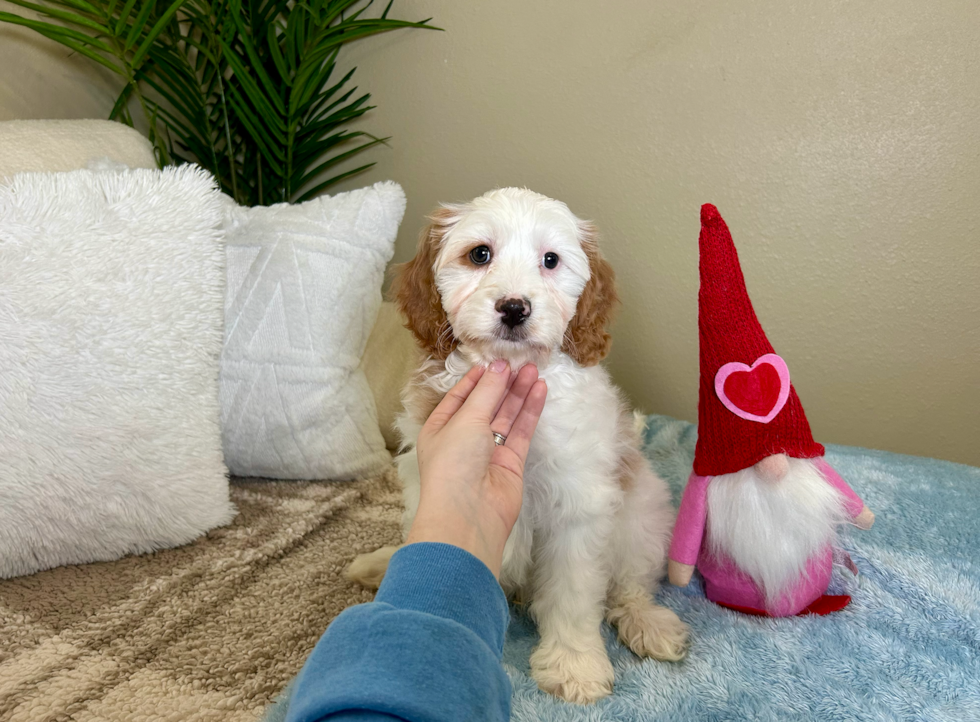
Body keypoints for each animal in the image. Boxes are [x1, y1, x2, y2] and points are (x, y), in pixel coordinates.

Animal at [352, 188, 688, 700]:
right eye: (479, 255)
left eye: (550, 260)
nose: (514, 308)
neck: (509, 373)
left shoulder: (577, 506)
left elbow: (572, 595)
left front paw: (574, 665)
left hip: (642, 515)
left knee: (630, 584)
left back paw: (648, 623)